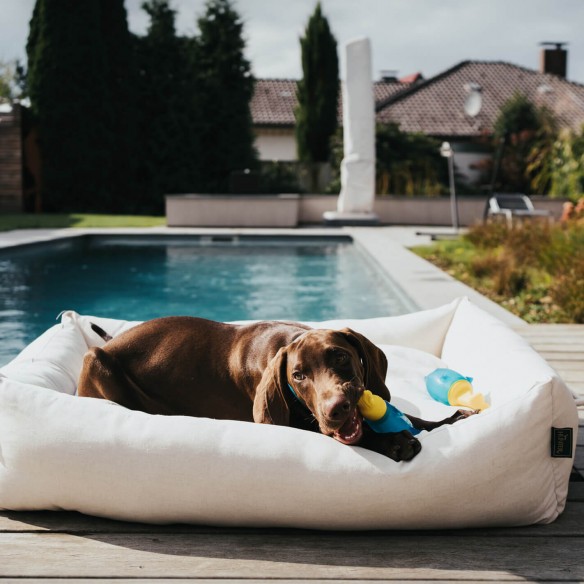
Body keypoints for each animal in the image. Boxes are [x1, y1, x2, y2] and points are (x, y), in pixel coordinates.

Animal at [76, 320, 470, 460]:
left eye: (341, 357)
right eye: (298, 376)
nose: (336, 409)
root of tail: (112, 340)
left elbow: (414, 417)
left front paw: (450, 419)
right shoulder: (298, 423)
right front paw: (391, 442)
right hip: (95, 361)